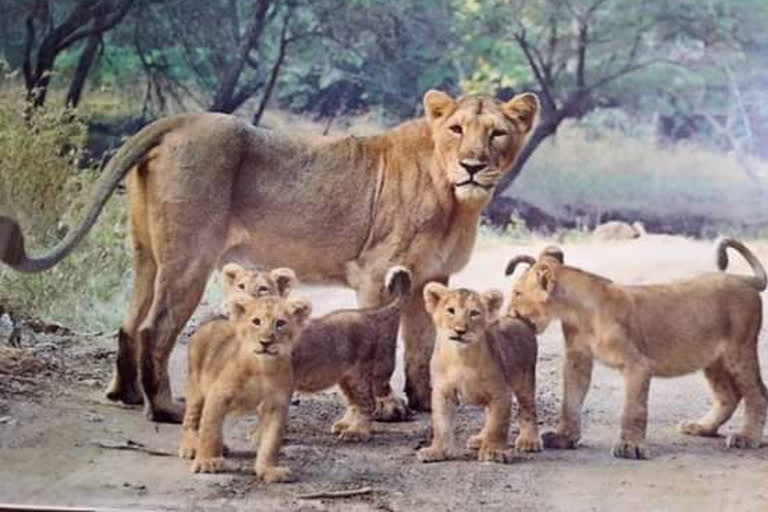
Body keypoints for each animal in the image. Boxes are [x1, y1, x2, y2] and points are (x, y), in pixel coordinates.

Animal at [0, 89, 540, 423]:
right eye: (456, 130)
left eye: (496, 133)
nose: (472, 166)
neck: (455, 199)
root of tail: (177, 121)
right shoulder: (377, 273)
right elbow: (384, 347)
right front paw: (387, 408)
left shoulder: (434, 276)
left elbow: (422, 349)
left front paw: (426, 403)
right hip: (190, 257)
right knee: (155, 327)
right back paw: (165, 408)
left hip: (147, 255)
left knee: (130, 323)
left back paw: (126, 396)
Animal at [178, 293, 311, 482]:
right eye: (256, 321)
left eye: (280, 323)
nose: (265, 342)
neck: (263, 368)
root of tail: (210, 323)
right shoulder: (218, 395)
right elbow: (209, 430)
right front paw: (206, 461)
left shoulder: (277, 405)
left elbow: (271, 442)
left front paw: (268, 470)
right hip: (196, 387)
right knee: (192, 420)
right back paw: (191, 446)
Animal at [418, 283, 540, 464]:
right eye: (450, 310)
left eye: (474, 313)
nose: (460, 330)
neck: (461, 357)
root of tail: (518, 319)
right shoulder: (443, 392)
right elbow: (441, 424)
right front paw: (436, 450)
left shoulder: (500, 392)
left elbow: (497, 424)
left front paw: (493, 451)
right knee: (489, 413)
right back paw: (480, 439)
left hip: (525, 381)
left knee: (527, 409)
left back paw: (529, 441)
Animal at [506, 239, 767, 459]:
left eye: (517, 293)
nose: (507, 313)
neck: (577, 312)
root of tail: (742, 279)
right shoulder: (577, 360)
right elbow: (570, 401)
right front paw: (564, 438)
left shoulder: (637, 364)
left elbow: (633, 408)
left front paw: (630, 446)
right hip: (712, 360)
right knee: (728, 396)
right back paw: (701, 427)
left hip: (739, 350)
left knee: (757, 393)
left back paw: (747, 437)